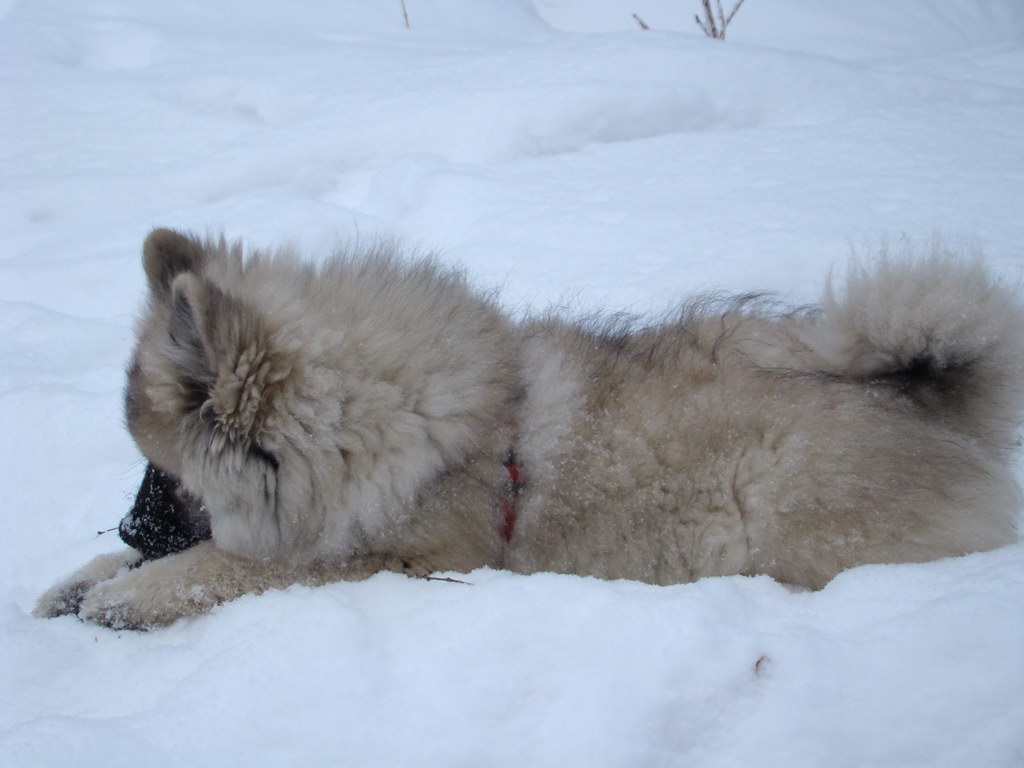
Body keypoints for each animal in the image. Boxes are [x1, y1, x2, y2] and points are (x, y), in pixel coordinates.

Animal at [36, 230, 1019, 630]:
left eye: (165, 474)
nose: (127, 523)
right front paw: (82, 577)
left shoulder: (407, 559)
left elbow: (244, 565)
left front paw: (135, 592)